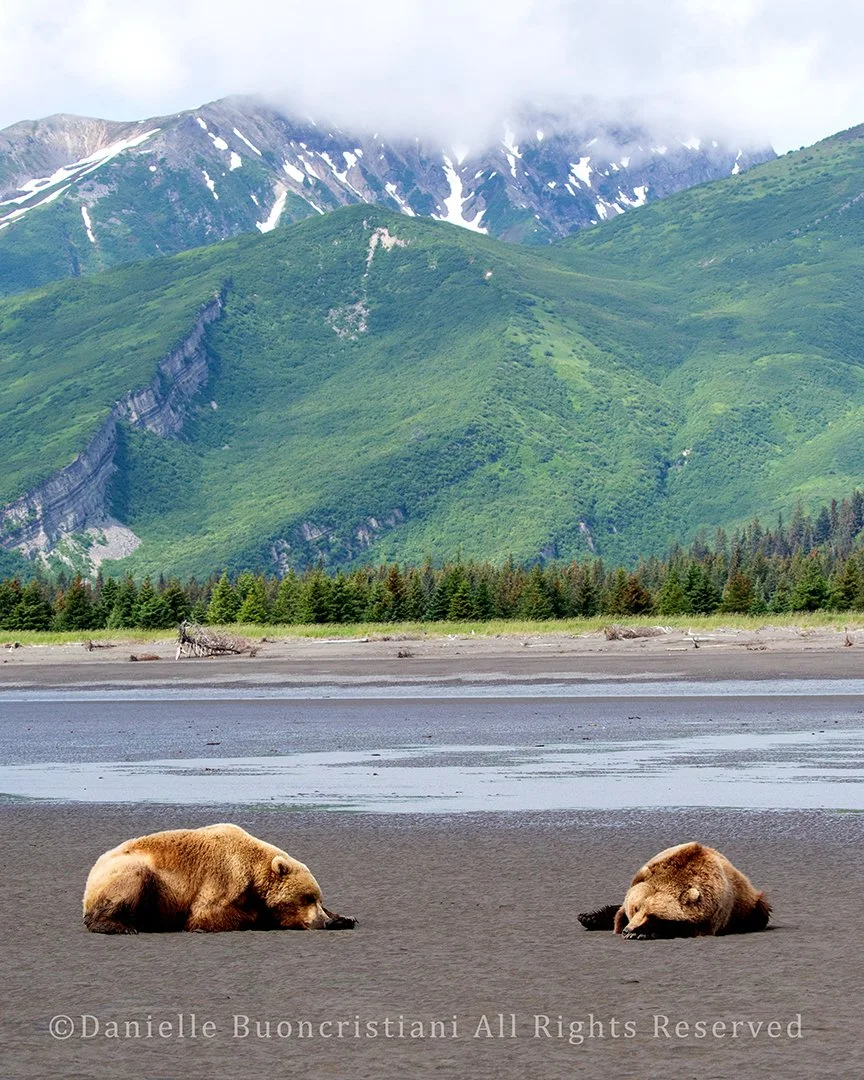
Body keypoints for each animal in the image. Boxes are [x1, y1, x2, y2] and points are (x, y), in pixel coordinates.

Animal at [83, 823, 356, 934]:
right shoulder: (223, 877)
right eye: (307, 898)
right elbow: (207, 914)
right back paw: (120, 926)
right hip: (131, 872)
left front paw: (344, 918)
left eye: (318, 899)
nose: (322, 922)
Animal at [578, 842, 770, 939]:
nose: (628, 930)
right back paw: (589, 917)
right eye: (636, 907)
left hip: (752, 905)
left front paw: (641, 933)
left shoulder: (712, 914)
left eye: (652, 915)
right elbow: (619, 914)